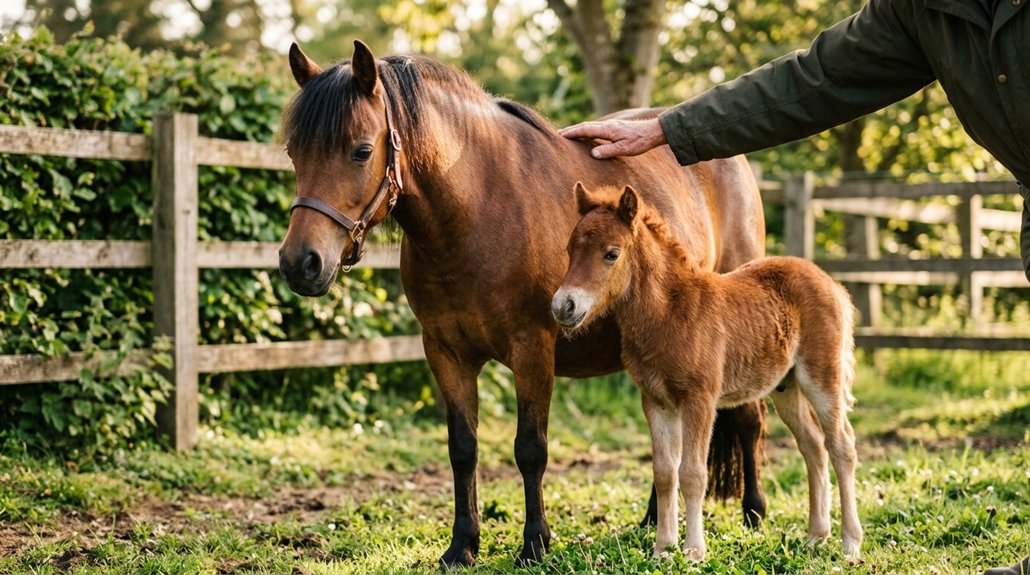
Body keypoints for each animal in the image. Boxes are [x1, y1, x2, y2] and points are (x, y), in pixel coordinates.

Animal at [277, 40, 769, 566]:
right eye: (293, 151)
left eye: (361, 151)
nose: (300, 262)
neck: (478, 210)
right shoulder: (445, 352)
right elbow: (462, 448)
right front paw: (462, 545)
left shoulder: (533, 348)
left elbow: (530, 448)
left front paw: (534, 543)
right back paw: (652, 522)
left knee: (748, 419)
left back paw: (754, 513)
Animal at [552, 182, 863, 561]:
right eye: (569, 249)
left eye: (611, 253)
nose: (563, 306)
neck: (670, 313)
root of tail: (832, 284)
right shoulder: (655, 401)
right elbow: (664, 472)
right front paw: (663, 548)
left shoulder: (699, 399)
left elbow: (692, 473)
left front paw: (694, 550)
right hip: (785, 387)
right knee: (813, 445)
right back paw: (816, 536)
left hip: (822, 377)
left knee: (841, 445)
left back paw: (850, 543)